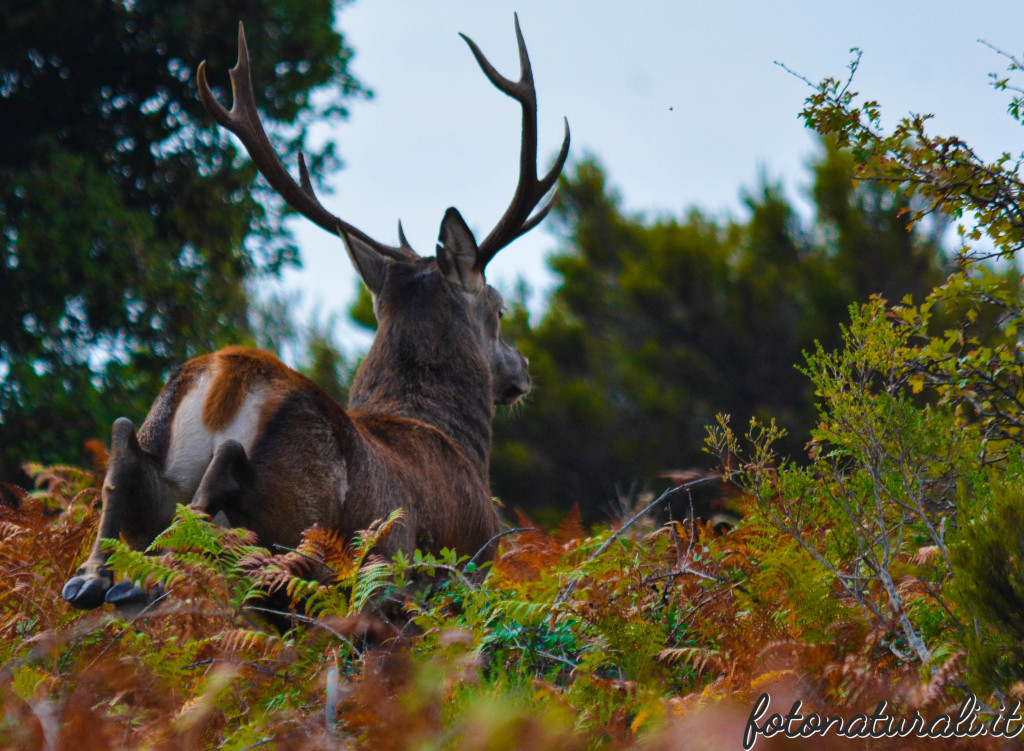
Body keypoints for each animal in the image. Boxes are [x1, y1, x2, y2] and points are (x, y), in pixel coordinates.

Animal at [62, 16, 569, 610]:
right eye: (500, 308)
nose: (522, 371)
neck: (451, 438)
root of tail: (227, 380)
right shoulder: (473, 562)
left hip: (155, 440)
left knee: (124, 451)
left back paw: (92, 577)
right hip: (310, 508)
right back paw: (145, 572)